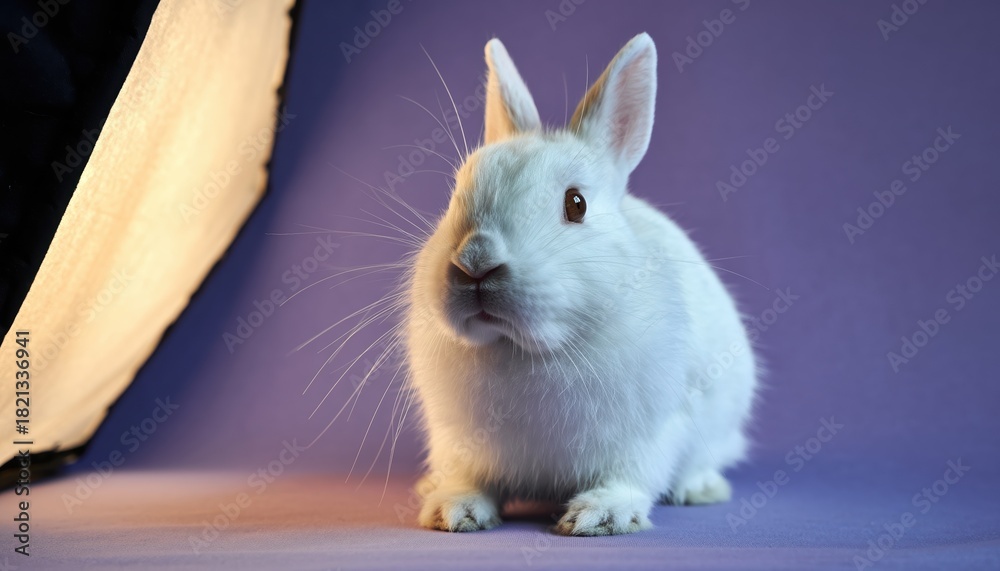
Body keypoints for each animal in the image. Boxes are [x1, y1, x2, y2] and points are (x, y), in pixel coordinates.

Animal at [404, 32, 758, 536]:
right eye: (456, 195)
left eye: (577, 204)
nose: (476, 262)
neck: (523, 349)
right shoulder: (458, 440)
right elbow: (469, 477)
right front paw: (454, 510)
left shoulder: (652, 431)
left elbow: (631, 474)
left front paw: (600, 516)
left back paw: (701, 489)